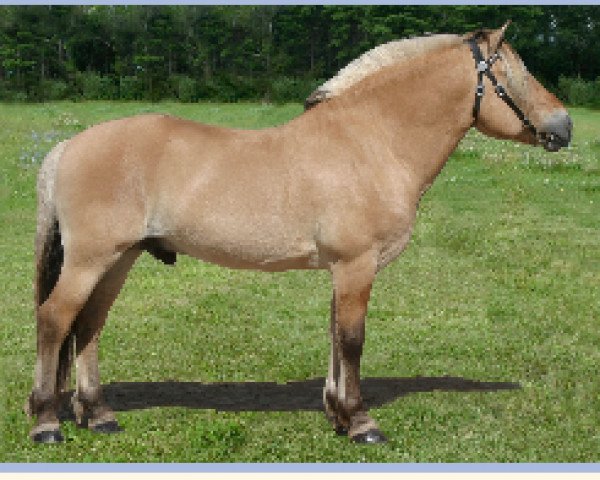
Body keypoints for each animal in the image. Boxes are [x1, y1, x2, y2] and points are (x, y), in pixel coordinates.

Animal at [27, 22, 572, 442]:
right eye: (515, 74)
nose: (564, 127)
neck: (370, 142)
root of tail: (68, 146)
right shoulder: (356, 265)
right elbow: (352, 339)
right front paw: (360, 422)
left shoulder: (343, 269)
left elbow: (334, 334)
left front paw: (336, 413)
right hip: (91, 258)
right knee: (55, 319)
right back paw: (46, 422)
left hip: (120, 258)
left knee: (89, 325)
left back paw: (98, 415)